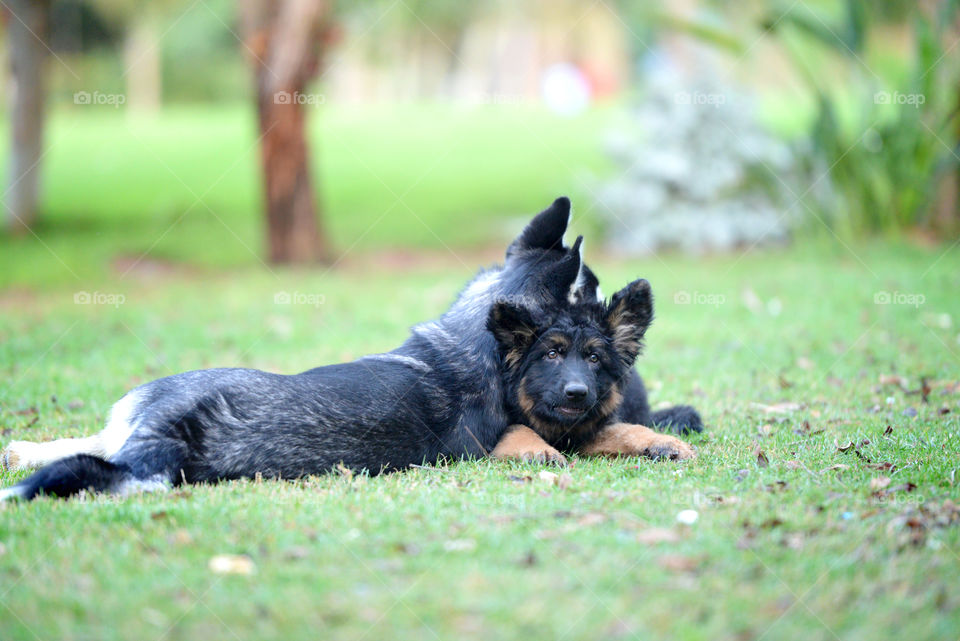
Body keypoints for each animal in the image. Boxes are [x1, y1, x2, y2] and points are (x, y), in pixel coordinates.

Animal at [492, 278, 692, 462]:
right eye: (552, 354)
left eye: (594, 358)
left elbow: (627, 429)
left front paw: (663, 441)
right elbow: (517, 429)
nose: (576, 393)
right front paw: (538, 449)